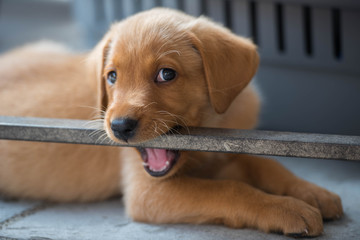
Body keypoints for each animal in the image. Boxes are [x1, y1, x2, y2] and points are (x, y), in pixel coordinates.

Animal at [0, 8, 344, 237]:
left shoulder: (231, 148)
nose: (120, 126)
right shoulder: (148, 193)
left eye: (166, 74)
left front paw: (311, 192)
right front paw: (287, 208)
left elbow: (266, 164)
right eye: (111, 77)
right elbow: (230, 189)